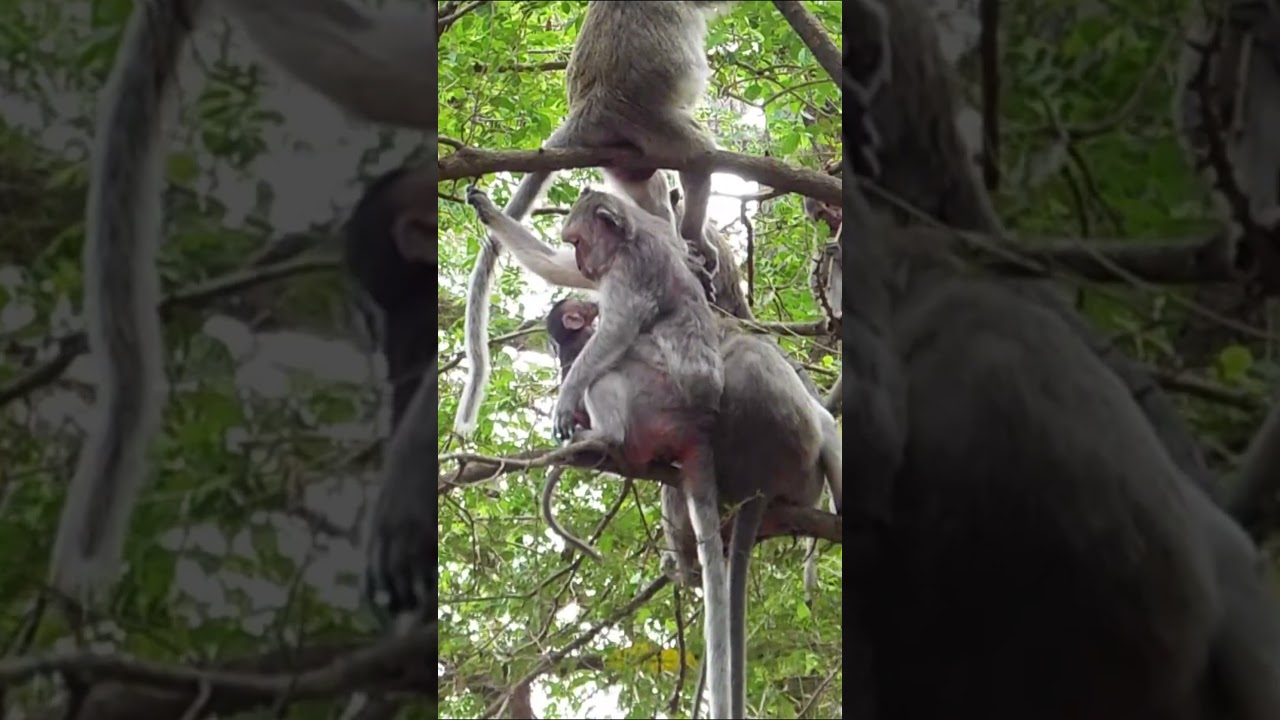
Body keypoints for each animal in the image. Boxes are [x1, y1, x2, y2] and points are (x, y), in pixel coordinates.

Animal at [455, 1, 736, 438]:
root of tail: (588, 111)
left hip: (627, 151)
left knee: (651, 186)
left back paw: (681, 244)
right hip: (653, 123)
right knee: (699, 154)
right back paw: (694, 236)